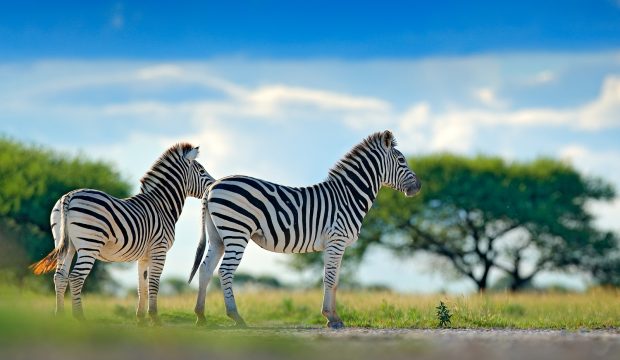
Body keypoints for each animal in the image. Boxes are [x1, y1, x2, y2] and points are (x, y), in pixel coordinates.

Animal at [32, 143, 216, 324]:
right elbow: (153, 284)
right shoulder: (159, 249)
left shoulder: (144, 256)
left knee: (60, 277)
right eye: (201, 171)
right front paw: (155, 319)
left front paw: (141, 318)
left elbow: (142, 286)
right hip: (89, 244)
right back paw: (79, 318)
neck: (162, 205)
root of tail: (69, 196)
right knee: (76, 277)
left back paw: (60, 316)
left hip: (65, 244)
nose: (214, 185)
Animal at [189, 131, 422, 328]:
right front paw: (331, 318)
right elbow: (330, 279)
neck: (348, 196)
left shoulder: (335, 244)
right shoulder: (336, 240)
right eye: (401, 160)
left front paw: (333, 316)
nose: (418, 187)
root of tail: (213, 185)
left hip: (218, 236)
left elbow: (334, 280)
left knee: (205, 269)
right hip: (236, 231)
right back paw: (236, 317)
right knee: (225, 271)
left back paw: (201, 316)